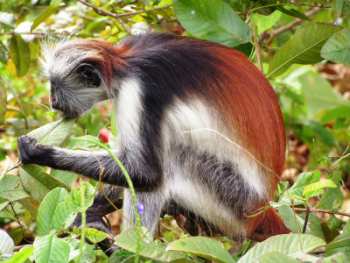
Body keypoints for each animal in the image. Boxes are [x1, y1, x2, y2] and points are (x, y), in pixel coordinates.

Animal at [17, 33, 288, 243]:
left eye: (55, 86)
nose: (52, 102)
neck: (123, 64)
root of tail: (262, 208)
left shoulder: (139, 90)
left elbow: (144, 173)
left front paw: (41, 152)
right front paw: (91, 212)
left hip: (236, 200)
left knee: (169, 163)